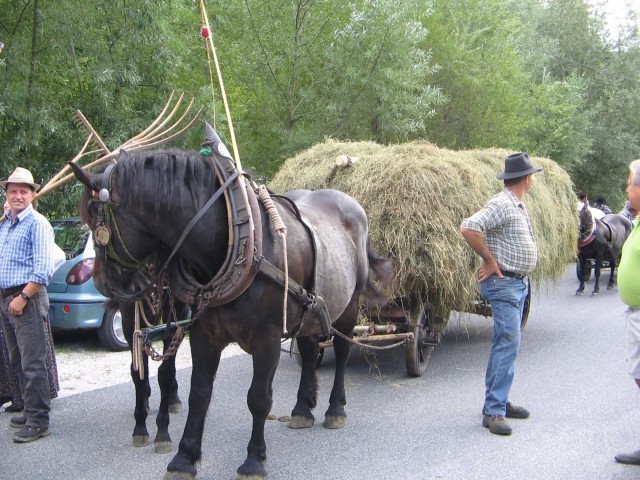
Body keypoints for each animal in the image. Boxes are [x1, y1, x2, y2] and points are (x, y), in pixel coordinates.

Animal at [71, 125, 396, 478]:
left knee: (342, 348)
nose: (104, 284)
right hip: (309, 311)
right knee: (310, 350)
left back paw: (335, 408)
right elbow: (199, 393)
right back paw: (302, 408)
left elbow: (258, 398)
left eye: (97, 220)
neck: (236, 237)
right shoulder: (203, 334)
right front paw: (184, 458)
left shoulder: (267, 337)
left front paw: (254, 459)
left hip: (348, 306)